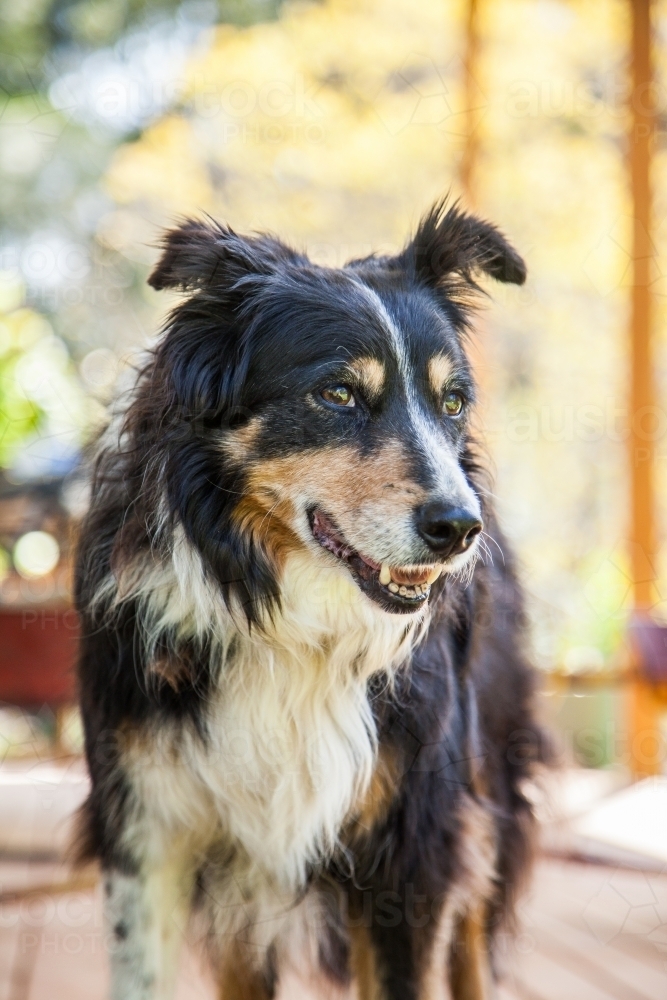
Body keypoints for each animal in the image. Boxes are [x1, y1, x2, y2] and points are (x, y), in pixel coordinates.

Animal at [75, 197, 552, 1000]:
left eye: (452, 401)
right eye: (336, 393)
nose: (460, 529)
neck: (290, 621)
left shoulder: (413, 843)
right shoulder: (145, 828)